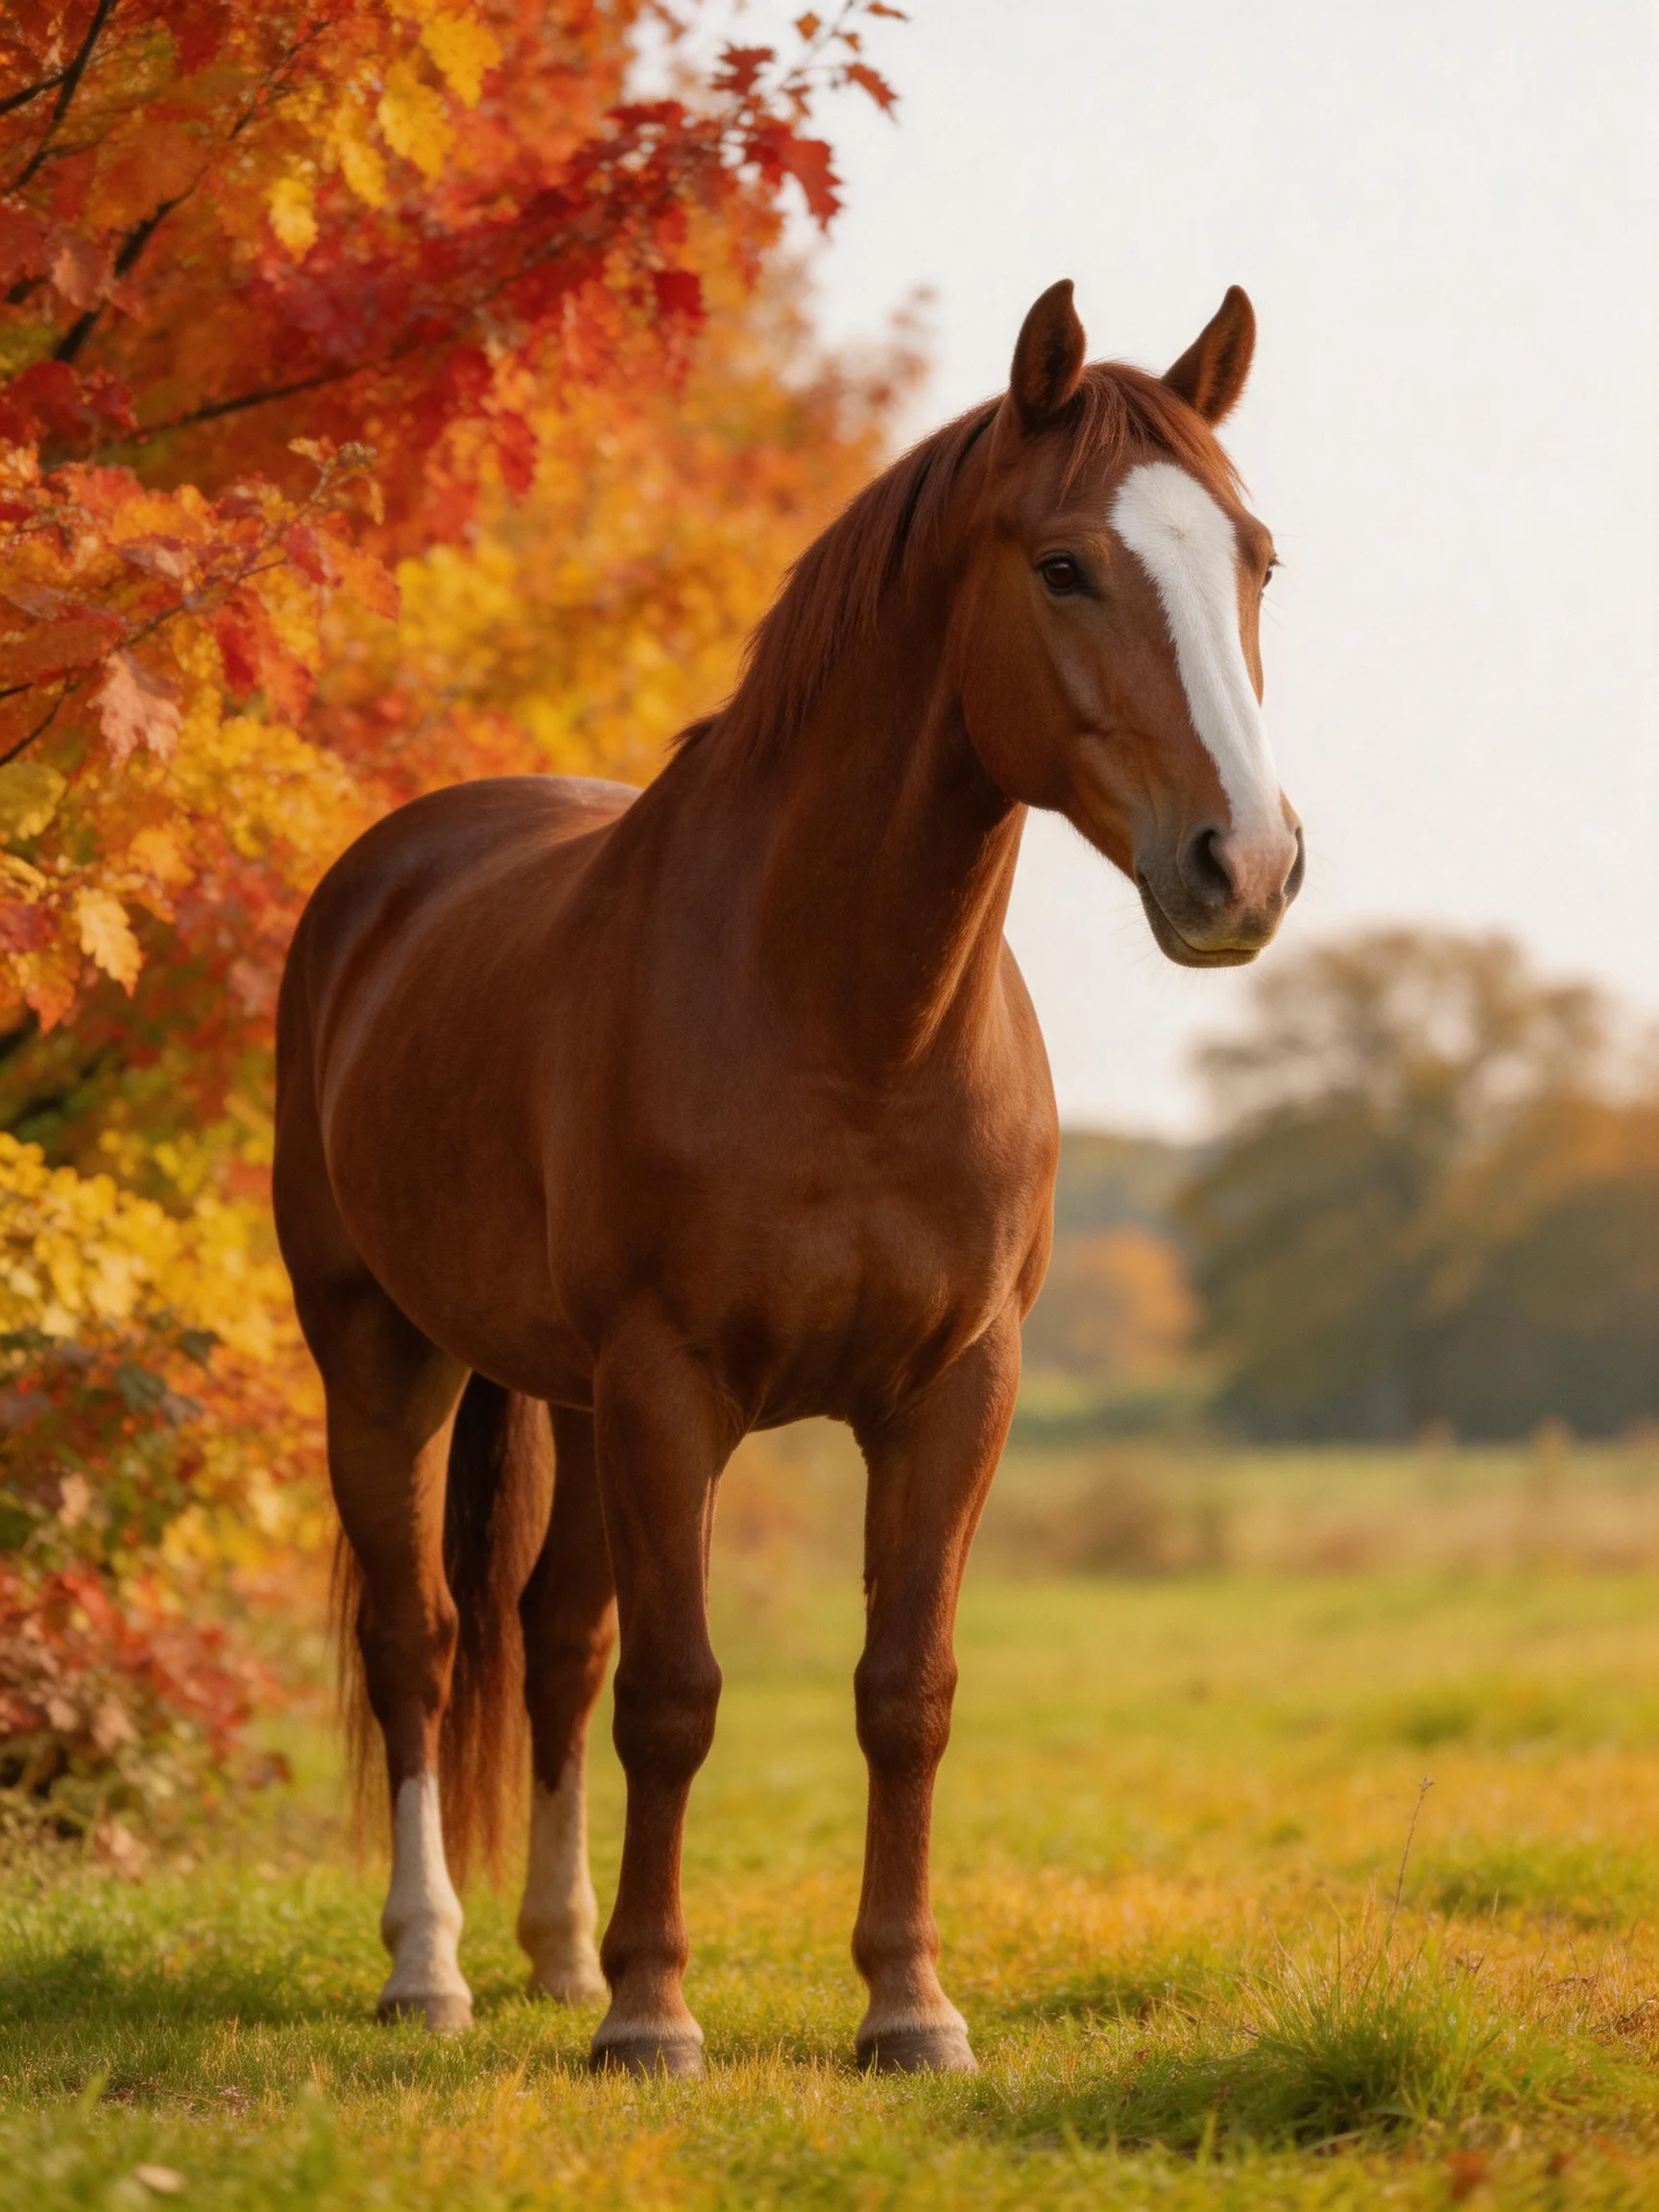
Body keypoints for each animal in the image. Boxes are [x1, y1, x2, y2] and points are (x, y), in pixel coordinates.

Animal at [272, 277, 1303, 2077]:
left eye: (1252, 556)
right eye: (1063, 565)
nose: (1241, 865)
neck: (842, 1023)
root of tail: (382, 878)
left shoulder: (954, 1390)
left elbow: (904, 1688)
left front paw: (907, 2005)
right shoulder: (671, 1383)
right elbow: (677, 1695)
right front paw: (654, 2015)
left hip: (568, 1402)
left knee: (553, 1639)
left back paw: (556, 1953)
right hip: (380, 1357)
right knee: (425, 1647)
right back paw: (434, 1968)